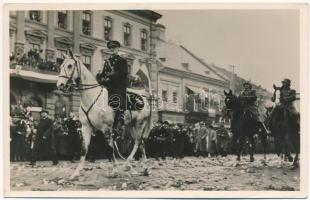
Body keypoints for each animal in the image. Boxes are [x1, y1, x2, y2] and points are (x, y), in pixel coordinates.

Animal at [56, 49, 153, 178]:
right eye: (61, 65)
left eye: (70, 65)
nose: (60, 85)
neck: (92, 97)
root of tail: (145, 100)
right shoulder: (86, 127)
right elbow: (84, 149)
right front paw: (76, 173)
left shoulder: (106, 129)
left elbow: (110, 149)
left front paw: (114, 170)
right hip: (130, 126)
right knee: (141, 143)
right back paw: (141, 168)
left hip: (139, 125)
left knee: (138, 142)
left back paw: (129, 164)